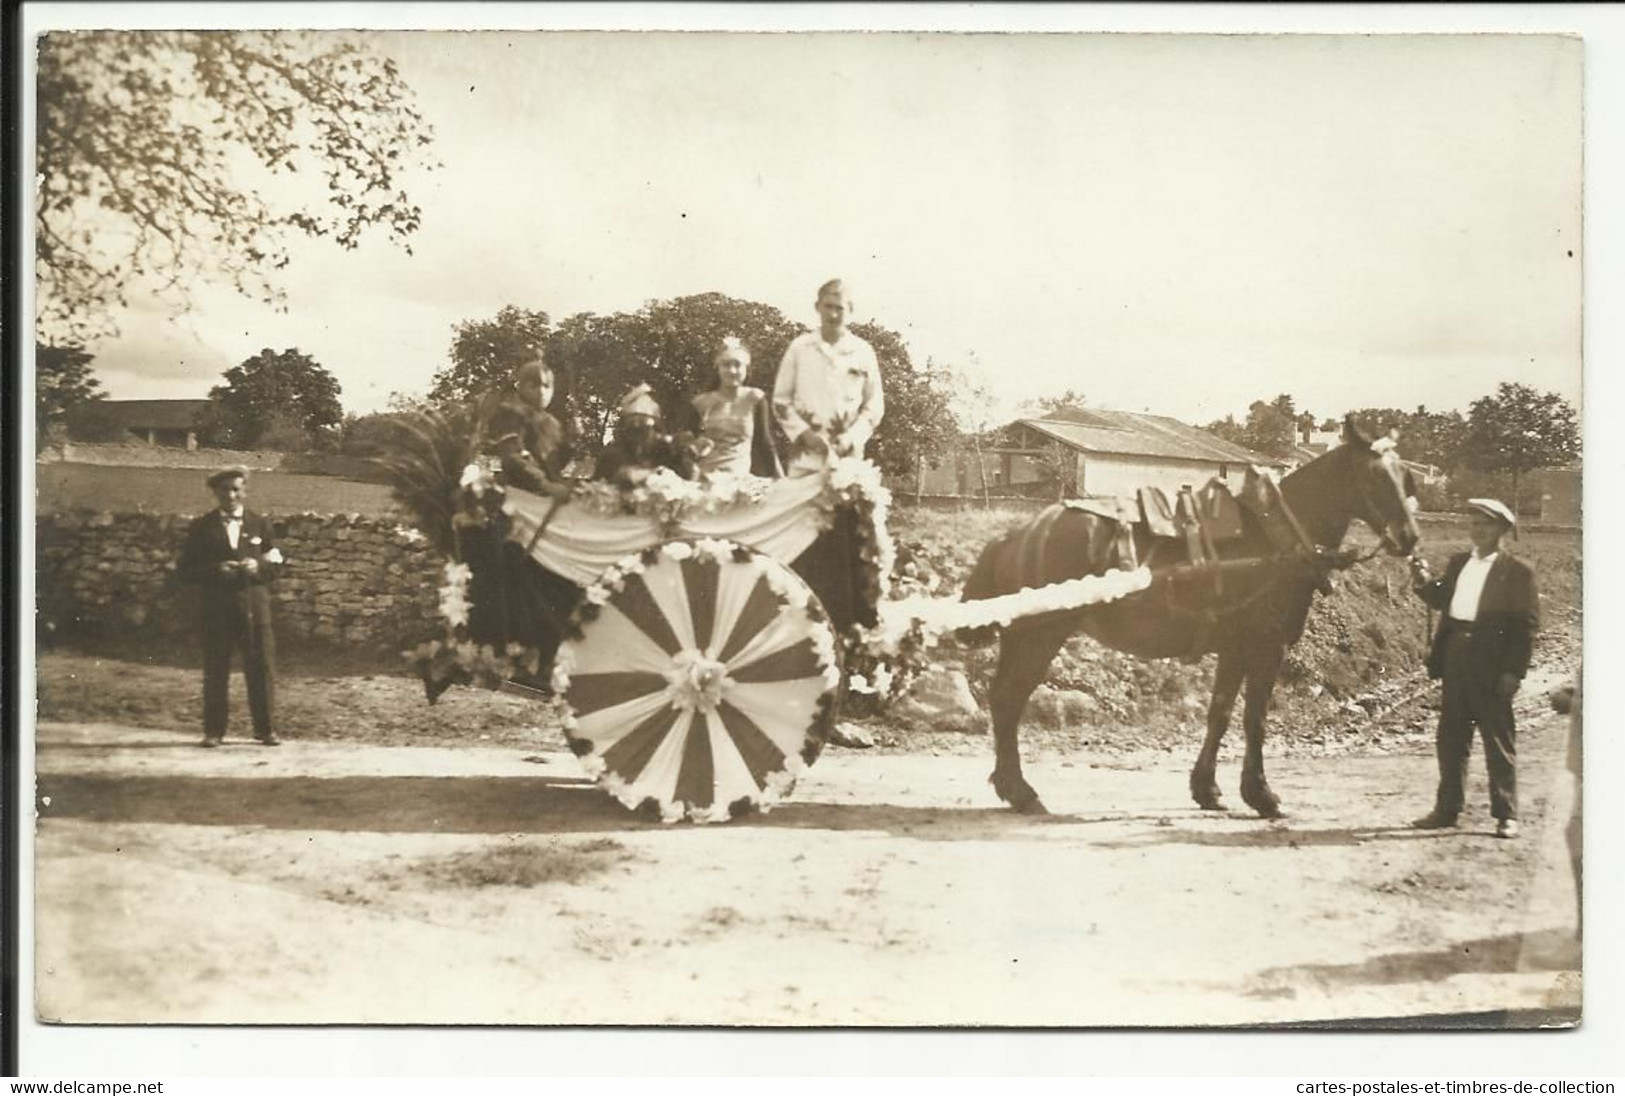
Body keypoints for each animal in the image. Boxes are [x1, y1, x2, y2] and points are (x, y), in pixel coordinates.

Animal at [955, 414, 1417, 816]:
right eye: (1375, 476)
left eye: (1406, 477)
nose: (1409, 537)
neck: (1275, 537)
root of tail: (1014, 534)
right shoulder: (1265, 647)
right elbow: (1254, 719)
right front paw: (1261, 794)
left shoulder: (1234, 649)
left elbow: (1221, 713)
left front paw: (1207, 788)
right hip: (1039, 636)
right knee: (1009, 699)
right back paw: (1021, 791)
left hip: (1023, 637)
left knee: (1002, 698)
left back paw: (1010, 786)